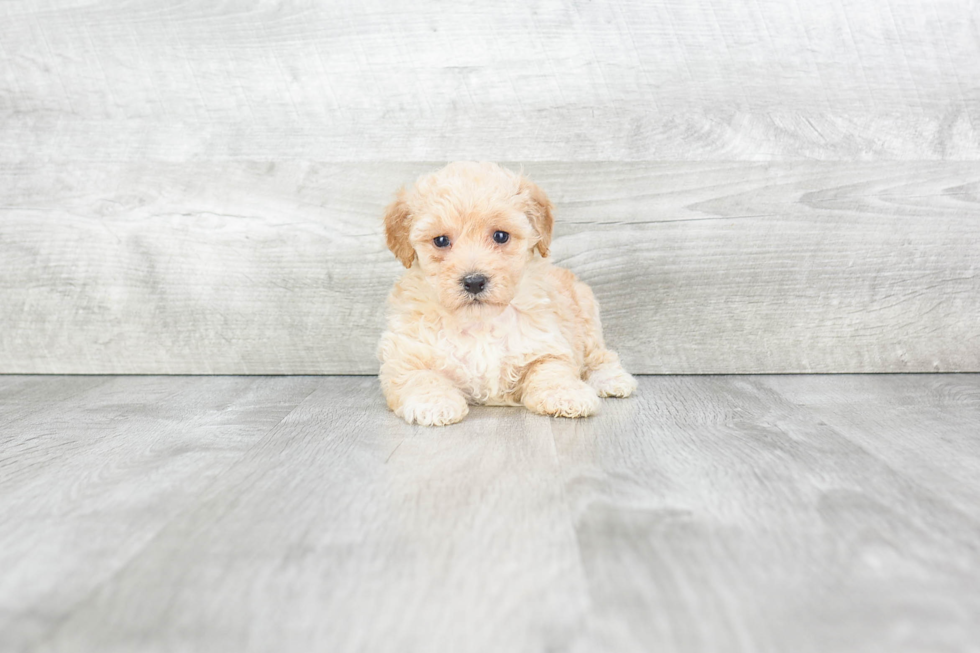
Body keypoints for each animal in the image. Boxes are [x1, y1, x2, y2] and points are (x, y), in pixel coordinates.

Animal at [376, 162, 636, 428]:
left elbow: (552, 370)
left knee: (600, 354)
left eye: (501, 236)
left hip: (587, 316)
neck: (479, 323)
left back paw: (612, 379)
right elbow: (420, 376)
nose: (474, 282)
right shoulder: (406, 354)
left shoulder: (547, 345)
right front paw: (434, 403)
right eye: (440, 240)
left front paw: (567, 395)